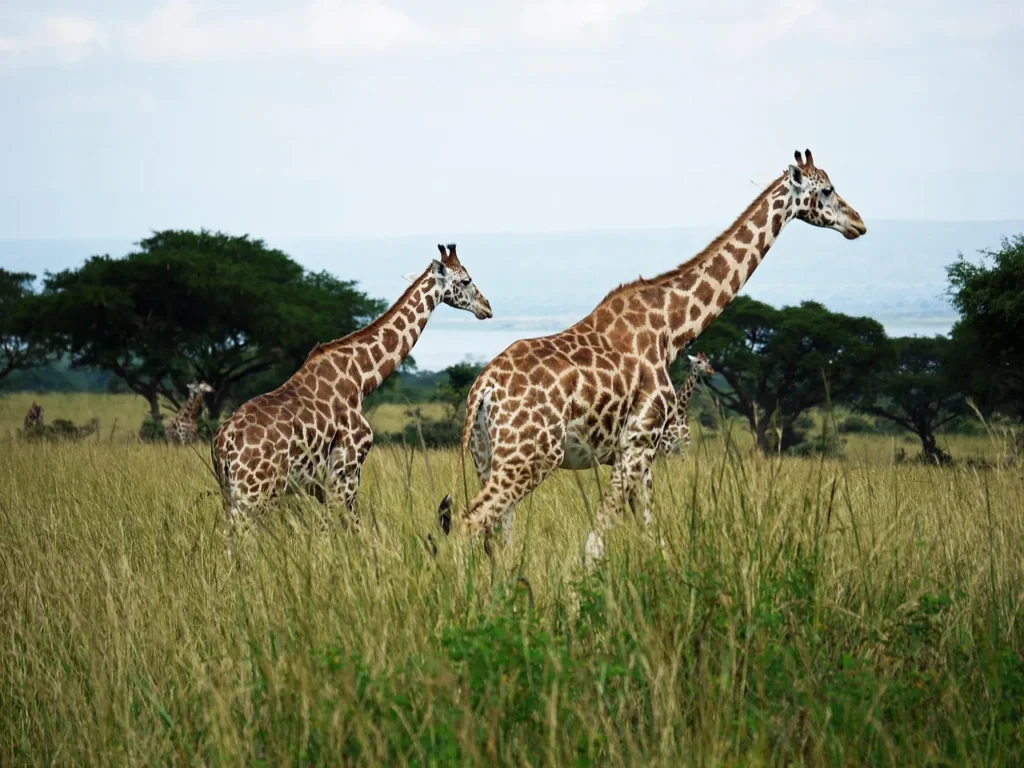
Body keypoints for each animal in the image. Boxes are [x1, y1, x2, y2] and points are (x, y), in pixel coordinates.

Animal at [212, 244, 492, 527]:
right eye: (466, 280)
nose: (487, 307)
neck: (360, 378)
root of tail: (224, 443)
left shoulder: (321, 483)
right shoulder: (347, 468)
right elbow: (350, 527)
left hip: (231, 495)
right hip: (256, 492)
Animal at [436, 149, 866, 561]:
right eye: (826, 190)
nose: (859, 223)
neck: (671, 329)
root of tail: (483, 389)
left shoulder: (639, 455)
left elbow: (649, 535)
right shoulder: (638, 443)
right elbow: (596, 544)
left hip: (488, 457)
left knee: (497, 538)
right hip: (531, 456)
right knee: (468, 523)